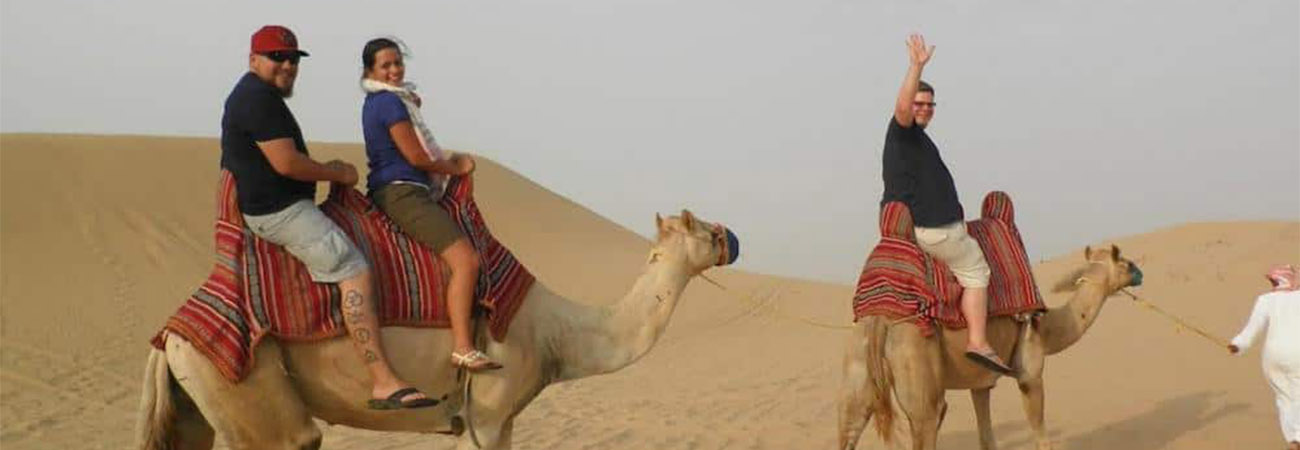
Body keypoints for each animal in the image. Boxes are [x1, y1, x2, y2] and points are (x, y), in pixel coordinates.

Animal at [136, 210, 739, 450]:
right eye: (705, 230)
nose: (731, 237)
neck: (555, 333)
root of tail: (170, 335)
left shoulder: (503, 422)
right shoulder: (487, 413)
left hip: (196, 406)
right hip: (247, 389)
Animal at [838, 244, 1144, 450]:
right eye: (1126, 262)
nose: (1140, 273)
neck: (1049, 325)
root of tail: (880, 320)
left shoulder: (981, 382)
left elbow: (987, 437)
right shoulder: (1030, 373)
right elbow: (1041, 437)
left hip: (858, 365)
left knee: (849, 426)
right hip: (916, 366)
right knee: (928, 419)